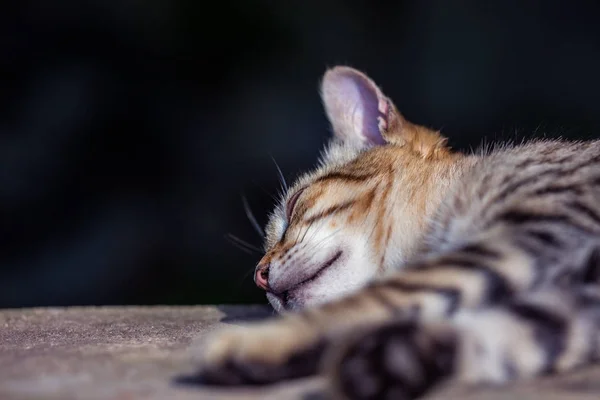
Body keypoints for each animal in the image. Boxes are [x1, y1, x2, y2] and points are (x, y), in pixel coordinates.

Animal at [189, 66, 600, 400]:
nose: (258, 276)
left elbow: (372, 299)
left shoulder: (538, 230)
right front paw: (391, 360)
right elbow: (515, 334)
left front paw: (255, 343)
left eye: (292, 208)